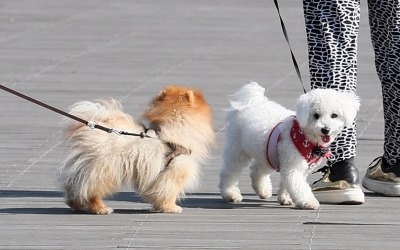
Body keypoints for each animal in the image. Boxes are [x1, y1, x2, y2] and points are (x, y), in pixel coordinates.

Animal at [58, 85, 214, 214]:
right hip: (106, 171)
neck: (176, 126)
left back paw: (76, 205)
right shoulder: (175, 171)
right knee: (91, 191)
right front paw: (170, 207)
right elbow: (168, 191)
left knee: (75, 188)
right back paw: (100, 208)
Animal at [219, 81, 360, 209]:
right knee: (230, 171)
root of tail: (250, 102)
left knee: (256, 169)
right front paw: (308, 202)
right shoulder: (293, 166)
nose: (325, 130)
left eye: (334, 115)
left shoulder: (295, 166)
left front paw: (285, 198)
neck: (305, 136)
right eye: (316, 115)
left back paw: (263, 190)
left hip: (266, 153)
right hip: (237, 150)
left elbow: (287, 184)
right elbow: (298, 186)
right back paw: (230, 193)